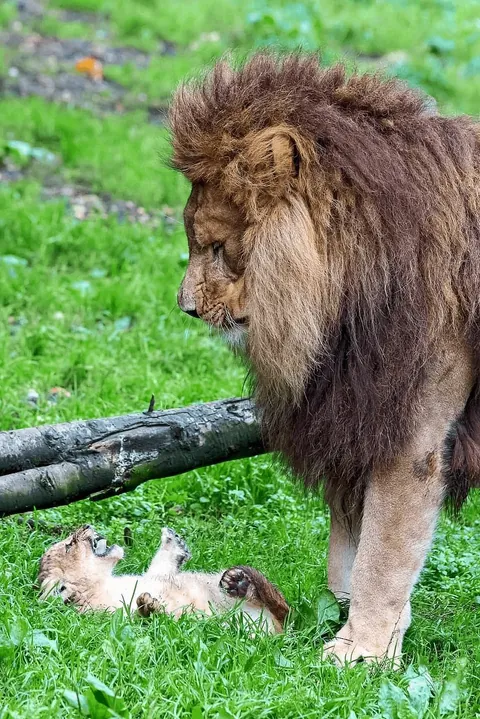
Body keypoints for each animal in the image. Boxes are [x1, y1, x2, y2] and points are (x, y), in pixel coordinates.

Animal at [38, 524, 289, 633]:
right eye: (69, 545)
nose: (87, 525)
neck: (103, 585)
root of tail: (279, 630)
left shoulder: (155, 576)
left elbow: (160, 566)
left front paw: (174, 541)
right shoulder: (110, 619)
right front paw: (149, 606)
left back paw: (238, 583)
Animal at [170, 53, 480, 664]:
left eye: (216, 247)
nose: (185, 307)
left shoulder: (409, 436)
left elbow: (382, 555)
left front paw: (359, 651)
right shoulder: (354, 412)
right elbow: (349, 544)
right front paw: (361, 622)